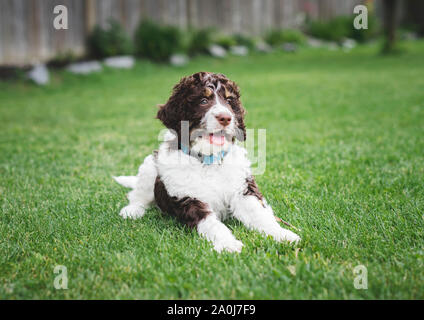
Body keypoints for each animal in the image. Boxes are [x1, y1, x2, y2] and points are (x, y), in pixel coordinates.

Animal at [112, 70, 300, 252]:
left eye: (229, 101)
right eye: (203, 101)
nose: (225, 118)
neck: (209, 159)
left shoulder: (243, 189)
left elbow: (259, 214)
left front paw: (282, 235)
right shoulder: (189, 199)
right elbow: (211, 224)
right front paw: (228, 244)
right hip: (150, 166)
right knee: (138, 195)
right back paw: (132, 210)